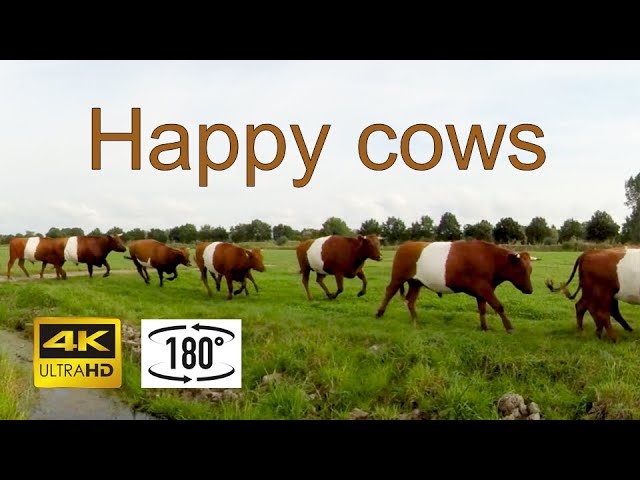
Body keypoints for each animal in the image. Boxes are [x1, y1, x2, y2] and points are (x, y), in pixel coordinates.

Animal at [375, 240, 538, 331]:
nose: (529, 290)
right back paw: (379, 313)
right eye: (522, 270)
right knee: (389, 292)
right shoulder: (485, 288)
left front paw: (484, 327)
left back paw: (415, 319)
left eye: (531, 270)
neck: (490, 259)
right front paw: (509, 327)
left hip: (416, 282)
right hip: (398, 277)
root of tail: (406, 244)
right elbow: (499, 306)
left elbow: (483, 309)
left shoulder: (482, 292)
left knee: (410, 300)